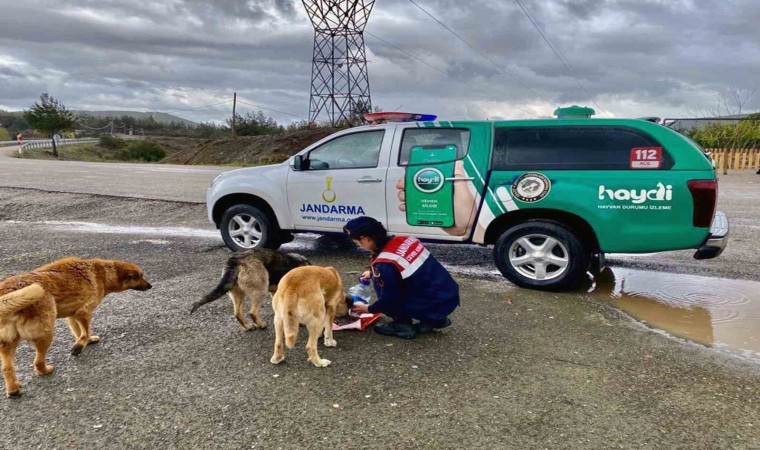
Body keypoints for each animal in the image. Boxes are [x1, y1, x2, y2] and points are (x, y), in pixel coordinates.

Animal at [0, 256, 153, 398]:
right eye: (140, 276)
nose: (150, 286)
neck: (101, 273)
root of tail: (6, 292)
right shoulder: (84, 312)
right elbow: (85, 331)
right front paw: (79, 347)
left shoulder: (72, 316)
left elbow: (79, 331)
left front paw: (88, 341)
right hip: (45, 332)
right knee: (37, 362)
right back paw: (45, 370)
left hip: (9, 342)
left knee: (7, 368)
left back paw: (13, 389)